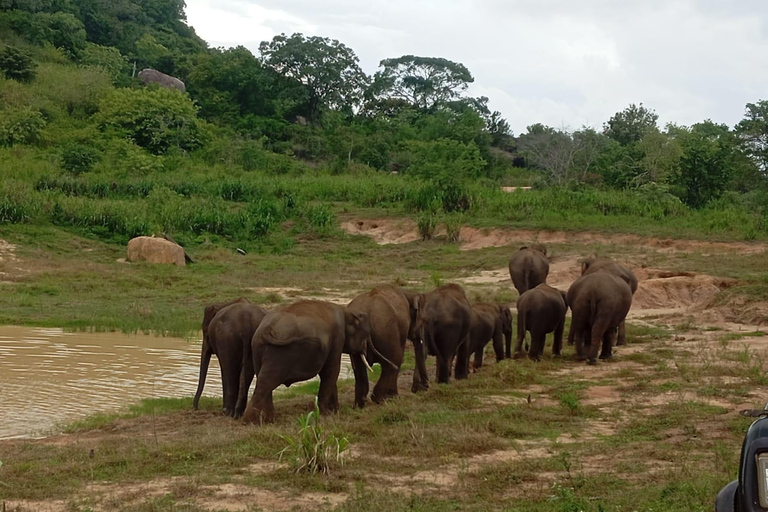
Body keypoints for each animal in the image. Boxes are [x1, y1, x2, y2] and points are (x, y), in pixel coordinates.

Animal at [242, 300, 396, 424]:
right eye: (366, 335)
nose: (366, 400)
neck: (345, 310)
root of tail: (265, 331)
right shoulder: (337, 337)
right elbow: (332, 371)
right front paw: (326, 413)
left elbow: (329, 373)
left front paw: (334, 411)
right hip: (278, 355)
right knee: (266, 383)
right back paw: (251, 421)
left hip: (258, 349)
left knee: (263, 381)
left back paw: (267, 420)